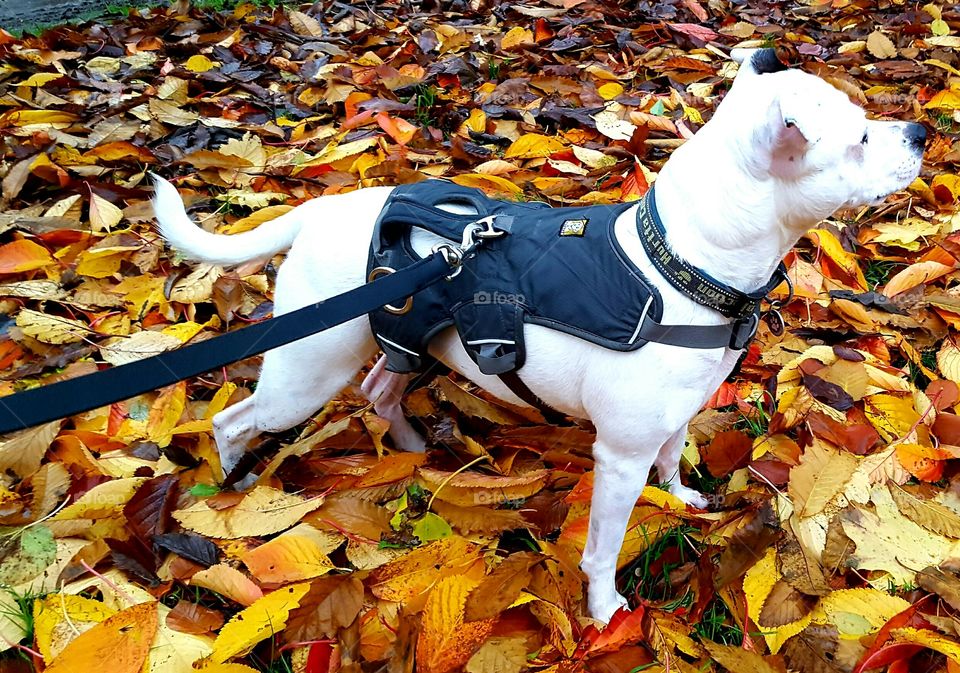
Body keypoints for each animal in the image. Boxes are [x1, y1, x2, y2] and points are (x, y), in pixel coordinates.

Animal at [154, 50, 928, 624]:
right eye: (860, 139)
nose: (921, 133)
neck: (679, 264)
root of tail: (315, 212)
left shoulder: (673, 418)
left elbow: (672, 458)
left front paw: (680, 497)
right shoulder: (618, 457)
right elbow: (602, 548)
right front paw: (605, 610)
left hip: (407, 340)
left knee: (379, 389)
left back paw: (412, 450)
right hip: (307, 372)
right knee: (235, 419)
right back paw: (232, 485)